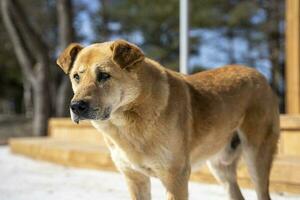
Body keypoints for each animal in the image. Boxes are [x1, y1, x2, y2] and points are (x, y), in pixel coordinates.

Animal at [57, 39, 280, 200]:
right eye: (76, 77)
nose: (76, 106)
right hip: (220, 168)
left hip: (256, 157)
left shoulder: (175, 177)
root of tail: (259, 75)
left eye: (103, 75)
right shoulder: (135, 178)